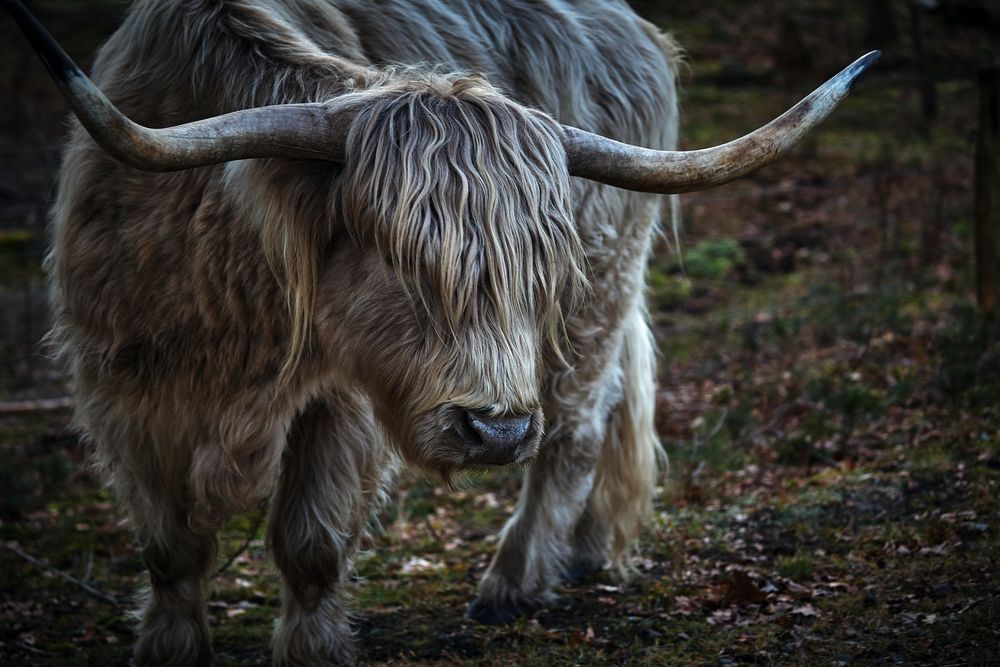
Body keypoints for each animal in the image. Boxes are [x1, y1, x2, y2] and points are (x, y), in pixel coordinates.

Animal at [5, 0, 876, 664]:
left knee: (580, 426)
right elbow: (171, 549)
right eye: (396, 258)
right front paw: (169, 647)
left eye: (536, 267)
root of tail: (635, 28)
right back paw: (586, 549)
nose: (497, 429)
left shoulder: (340, 400)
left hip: (600, 287)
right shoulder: (121, 385)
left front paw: (314, 651)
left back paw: (513, 580)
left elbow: (310, 543)